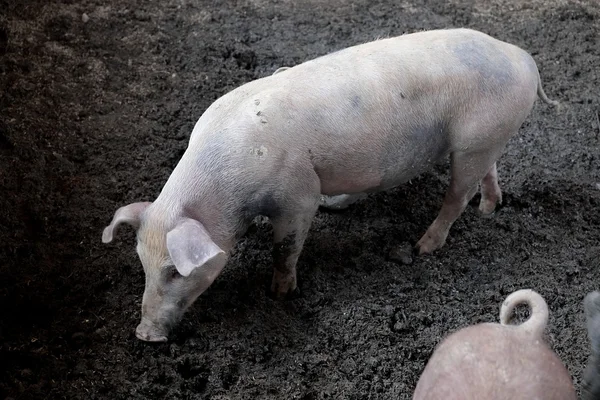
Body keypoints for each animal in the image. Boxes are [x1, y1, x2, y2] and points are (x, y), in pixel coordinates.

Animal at [102, 27, 556, 340]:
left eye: (174, 271)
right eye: (142, 263)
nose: (145, 335)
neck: (229, 196)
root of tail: (521, 56)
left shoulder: (296, 193)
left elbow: (286, 247)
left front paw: (280, 294)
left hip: (474, 141)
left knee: (456, 197)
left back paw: (422, 247)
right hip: (485, 141)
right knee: (488, 174)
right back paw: (488, 209)